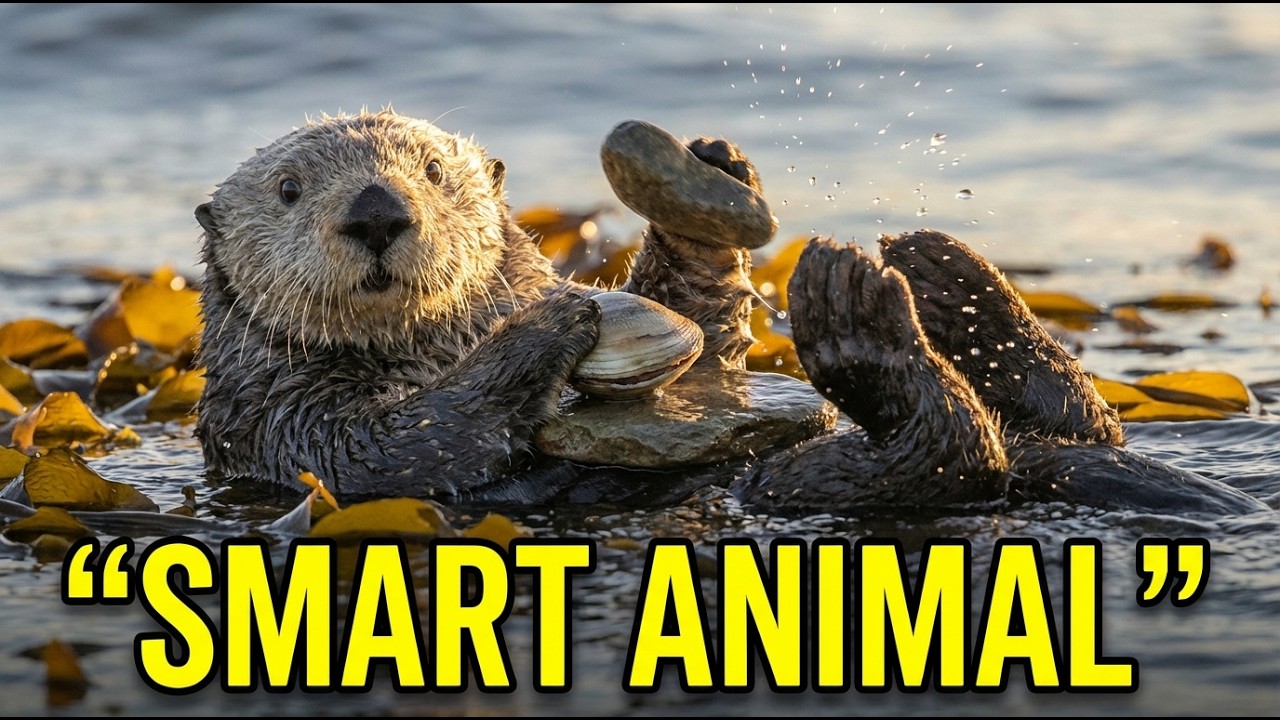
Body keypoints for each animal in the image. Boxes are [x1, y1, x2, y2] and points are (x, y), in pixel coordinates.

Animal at [195, 110, 763, 498]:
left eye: (433, 169)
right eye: (289, 189)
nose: (375, 212)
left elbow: (709, 353)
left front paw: (715, 166)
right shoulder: (282, 415)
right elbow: (386, 448)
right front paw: (545, 323)